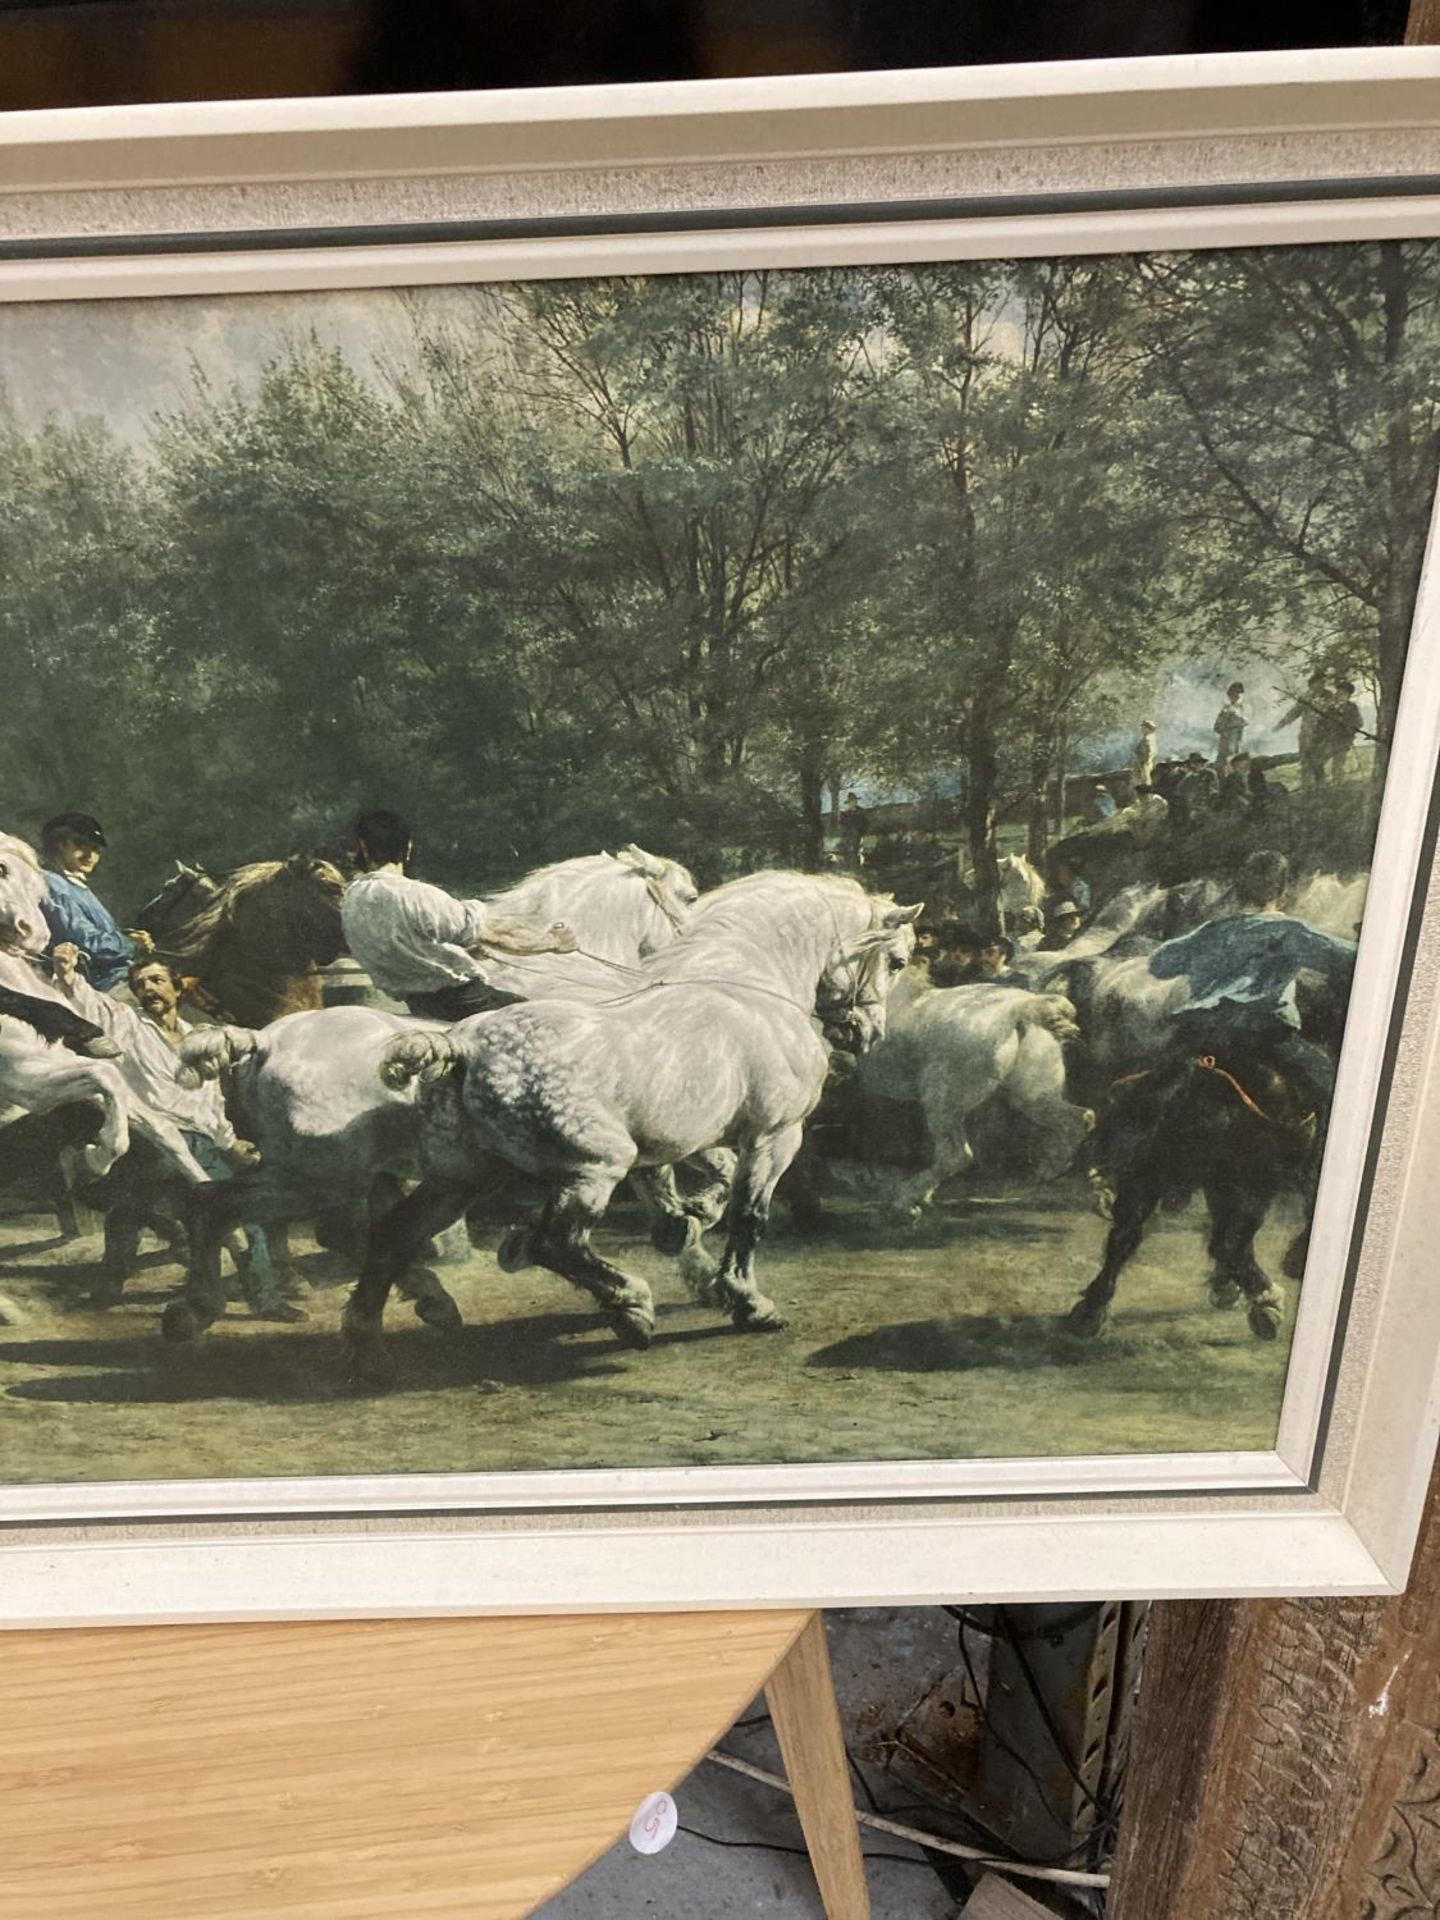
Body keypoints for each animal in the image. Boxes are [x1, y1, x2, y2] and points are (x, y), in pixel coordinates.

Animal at [341, 871, 917, 1382]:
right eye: (897, 960)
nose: (866, 1034)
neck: (749, 985)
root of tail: (460, 1045)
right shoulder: (774, 1136)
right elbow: (748, 1217)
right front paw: (750, 1304)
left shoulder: (685, 1144)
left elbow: (703, 1190)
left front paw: (687, 1227)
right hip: (594, 1169)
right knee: (556, 1242)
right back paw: (632, 1308)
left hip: (464, 1179)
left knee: (393, 1235)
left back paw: (370, 1348)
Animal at [856, 975, 1090, 1213]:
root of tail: (1018, 1008)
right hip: (1031, 1098)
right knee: (1079, 1119)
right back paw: (1045, 1171)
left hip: (941, 1101)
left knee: (954, 1156)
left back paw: (905, 1201)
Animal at [1075, 1044, 1320, 1344]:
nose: (1094, 1164)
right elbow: (1125, 1237)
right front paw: (1091, 1307)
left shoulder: (1251, 1186)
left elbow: (1228, 1243)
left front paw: (1263, 1301)